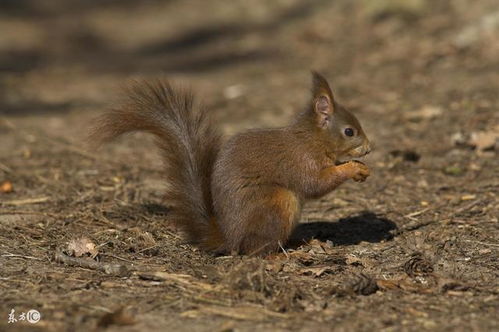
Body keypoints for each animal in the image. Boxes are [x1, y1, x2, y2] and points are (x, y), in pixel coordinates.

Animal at [91, 72, 372, 254]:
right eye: (349, 132)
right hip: (277, 204)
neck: (312, 138)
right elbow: (316, 184)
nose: (370, 148)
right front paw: (353, 167)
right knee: (254, 250)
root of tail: (229, 238)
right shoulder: (301, 160)